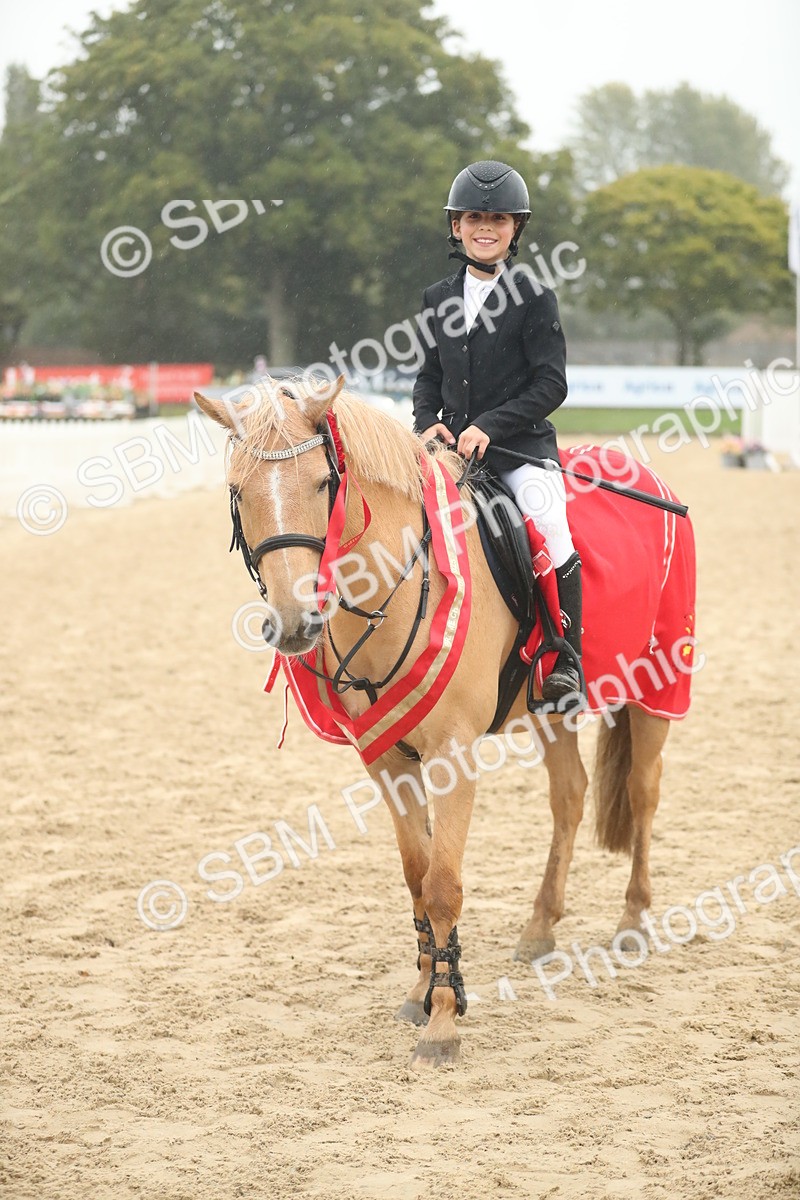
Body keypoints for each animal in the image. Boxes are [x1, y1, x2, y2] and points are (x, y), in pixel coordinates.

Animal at [193, 375, 696, 1068]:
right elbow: (417, 876)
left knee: (644, 794)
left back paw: (633, 922)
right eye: (239, 491)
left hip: (657, 689)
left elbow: (444, 884)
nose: (295, 624)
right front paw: (425, 989)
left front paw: (443, 1022)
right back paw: (540, 927)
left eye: (323, 484)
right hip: (551, 712)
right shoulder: (386, 759)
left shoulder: (451, 754)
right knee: (570, 797)